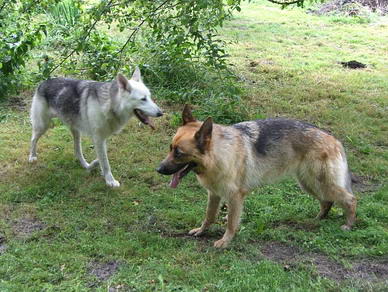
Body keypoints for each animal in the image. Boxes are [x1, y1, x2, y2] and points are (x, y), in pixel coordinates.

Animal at [156, 106, 356, 248]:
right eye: (170, 148)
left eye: (179, 153)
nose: (158, 169)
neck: (218, 153)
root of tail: (333, 139)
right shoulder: (214, 194)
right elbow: (209, 216)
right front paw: (202, 231)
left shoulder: (235, 198)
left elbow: (231, 223)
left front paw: (225, 241)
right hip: (309, 183)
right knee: (327, 201)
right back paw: (318, 219)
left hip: (319, 182)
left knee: (350, 199)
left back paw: (348, 225)